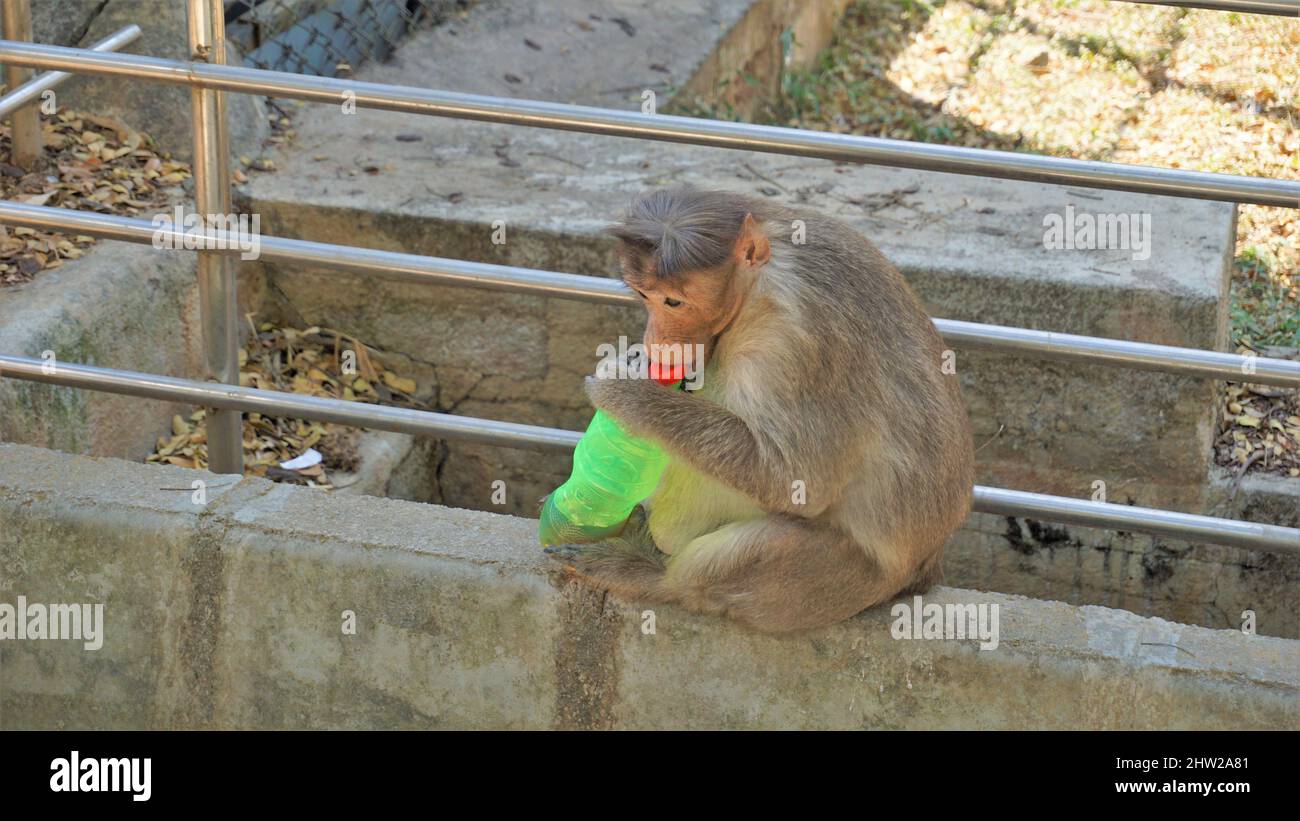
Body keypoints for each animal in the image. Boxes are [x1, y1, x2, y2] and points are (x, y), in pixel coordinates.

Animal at [540, 187, 977, 633]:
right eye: (645, 295)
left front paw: (625, 392)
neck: (761, 281)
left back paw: (655, 575)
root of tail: (921, 571)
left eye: (674, 301)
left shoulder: (796, 341)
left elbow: (798, 480)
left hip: (842, 578)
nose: (655, 338)